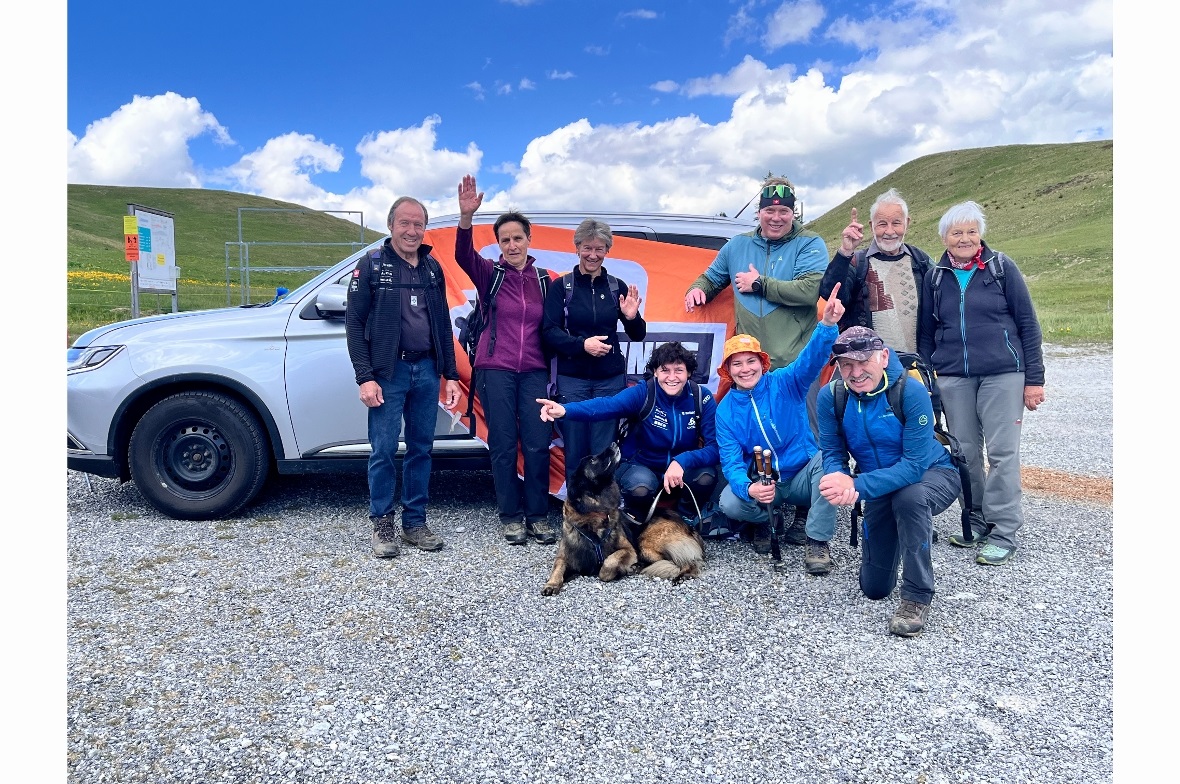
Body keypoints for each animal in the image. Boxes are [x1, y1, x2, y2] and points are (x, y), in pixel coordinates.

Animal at [542, 442, 705, 595]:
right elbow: (557, 568)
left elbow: (607, 565)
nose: (614, 443)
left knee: (685, 561)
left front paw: (619, 570)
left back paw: (682, 575)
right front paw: (551, 584)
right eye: (593, 460)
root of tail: (688, 525)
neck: (595, 515)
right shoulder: (565, 556)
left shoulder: (628, 549)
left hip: (646, 544)